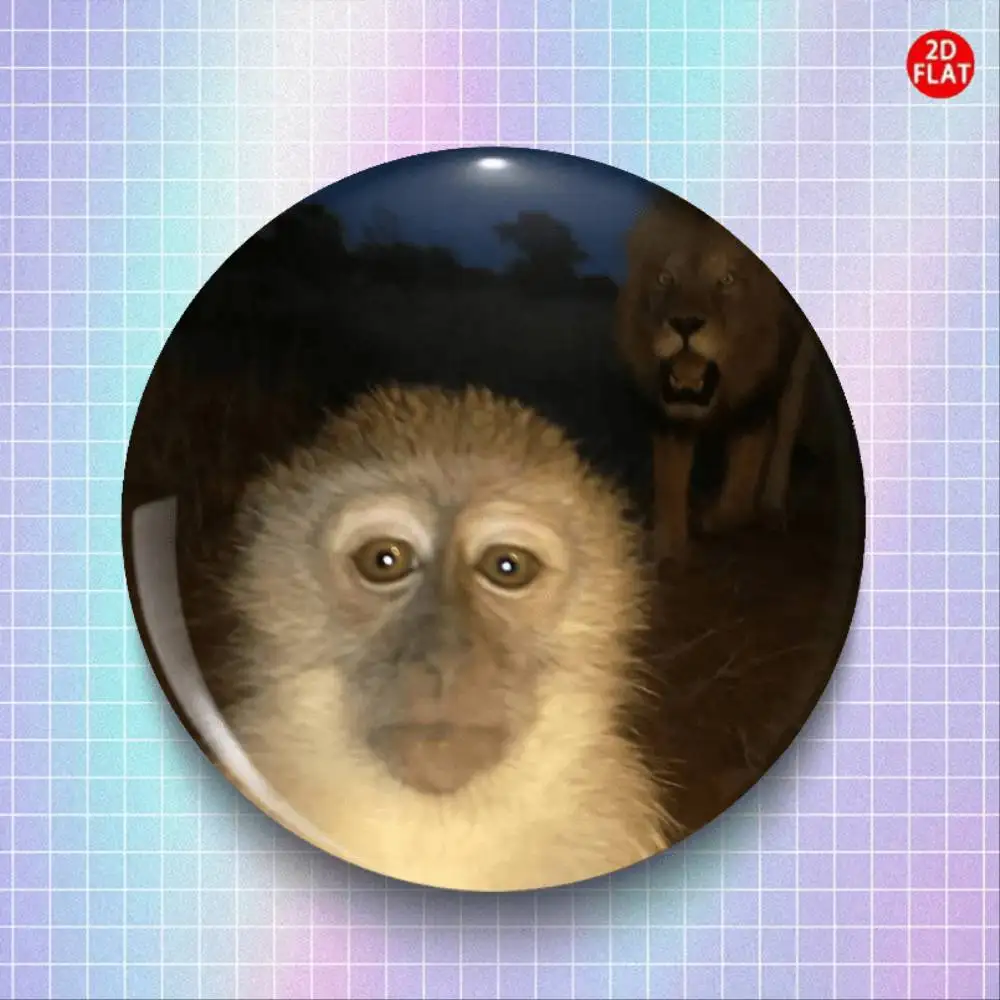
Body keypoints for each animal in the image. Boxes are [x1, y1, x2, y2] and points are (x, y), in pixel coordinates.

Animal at [615, 191, 816, 563]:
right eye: (665, 278)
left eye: (726, 281)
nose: (685, 324)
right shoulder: (670, 416)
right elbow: (669, 482)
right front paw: (665, 544)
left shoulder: (756, 402)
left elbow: (740, 491)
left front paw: (715, 519)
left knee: (785, 429)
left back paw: (771, 507)